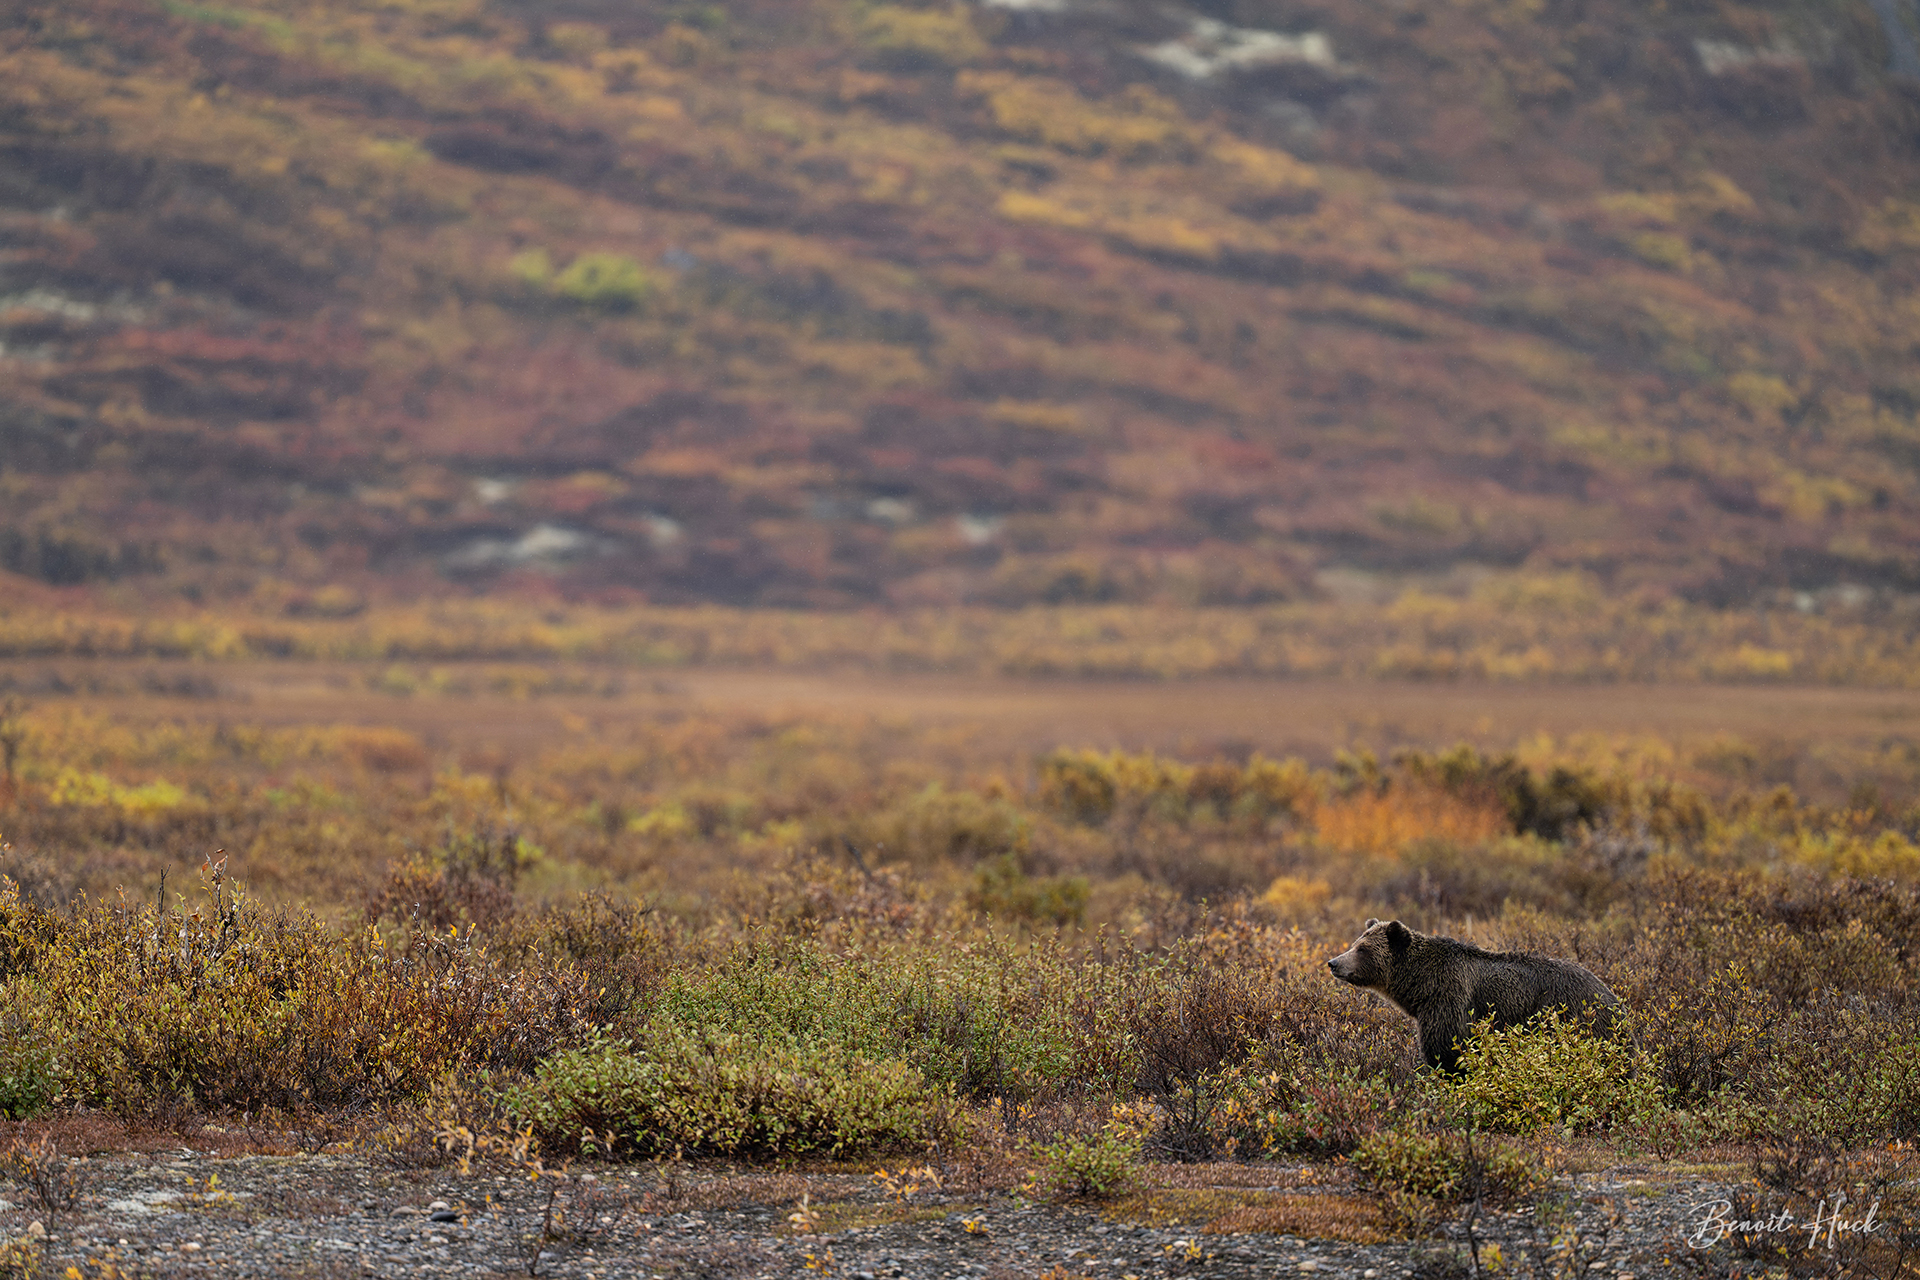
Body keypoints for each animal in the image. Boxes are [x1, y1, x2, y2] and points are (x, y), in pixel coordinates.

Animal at [1326, 918, 1623, 1072]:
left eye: (1362, 949)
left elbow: (1447, 1048)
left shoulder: (1449, 998)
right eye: (1355, 943)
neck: (1420, 985)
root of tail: (1612, 997)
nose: (1333, 962)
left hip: (1576, 1021)